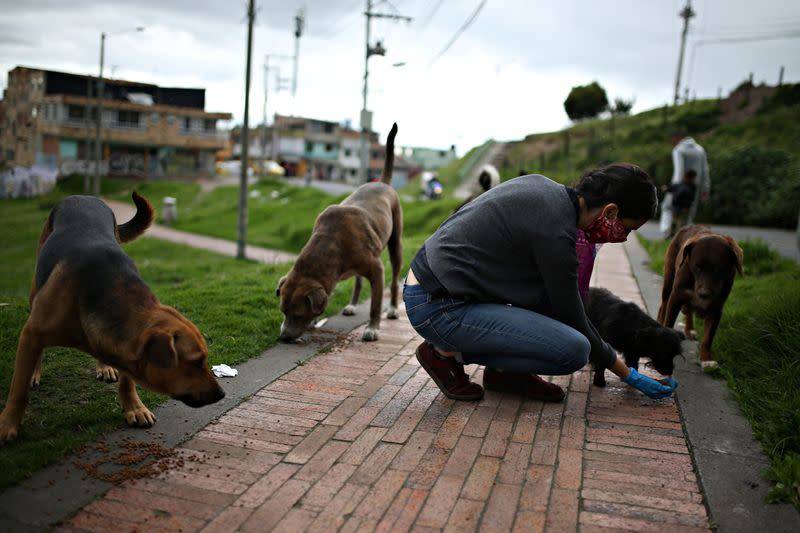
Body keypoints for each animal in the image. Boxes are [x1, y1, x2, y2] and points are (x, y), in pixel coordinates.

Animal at [0, 193, 225, 442]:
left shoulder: (125, 348)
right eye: (196, 361)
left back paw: (104, 366)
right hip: (35, 291)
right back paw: (36, 371)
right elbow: (18, 388)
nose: (222, 394)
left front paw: (134, 407)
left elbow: (128, 381)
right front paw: (8, 423)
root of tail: (82, 196)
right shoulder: (32, 332)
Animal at [278, 123, 404, 342]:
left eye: (299, 314)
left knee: (395, 278)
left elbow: (375, 303)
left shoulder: (377, 269)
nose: (284, 337)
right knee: (359, 282)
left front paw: (372, 328)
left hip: (395, 241)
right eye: (283, 311)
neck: (329, 244)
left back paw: (394, 308)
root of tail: (382, 183)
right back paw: (352, 305)